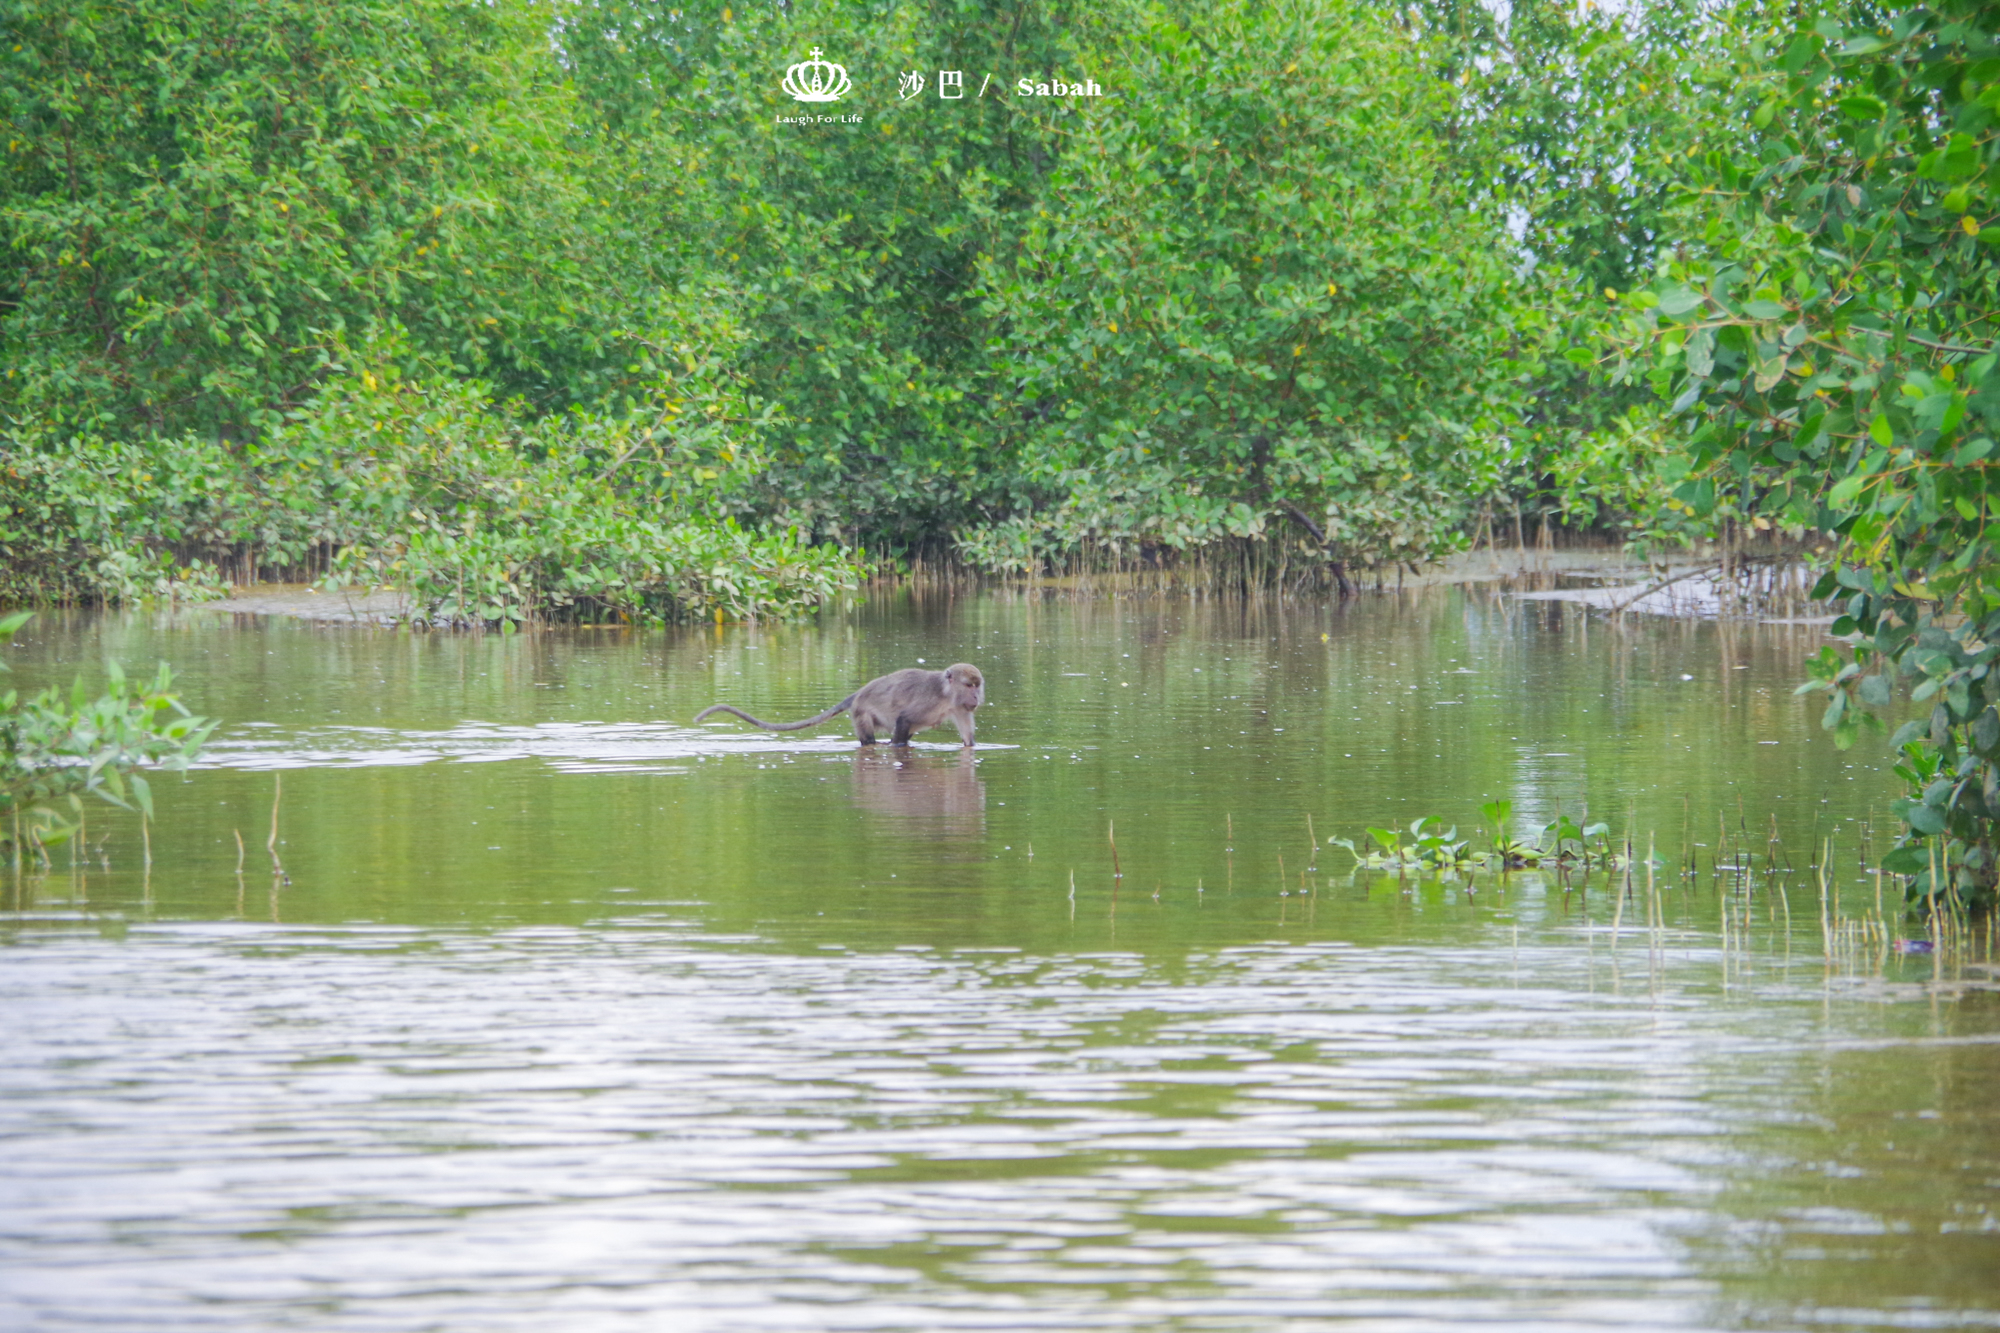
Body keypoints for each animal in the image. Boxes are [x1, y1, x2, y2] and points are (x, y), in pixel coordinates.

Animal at [696, 660, 992, 748]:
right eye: (969, 686)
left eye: (977, 686)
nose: (976, 698)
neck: (947, 694)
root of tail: (858, 693)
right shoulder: (928, 701)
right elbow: (904, 719)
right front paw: (897, 747)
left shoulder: (958, 708)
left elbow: (968, 739)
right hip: (861, 711)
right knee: (869, 739)